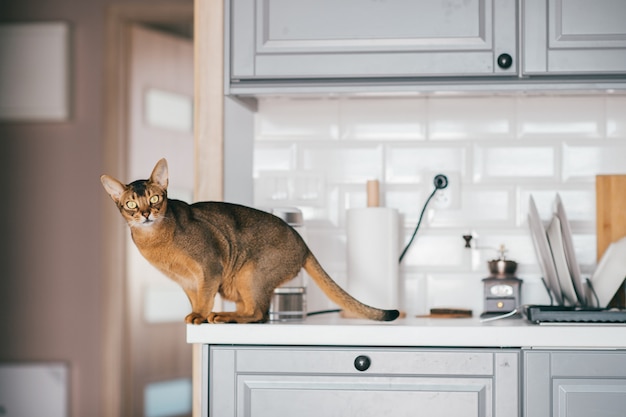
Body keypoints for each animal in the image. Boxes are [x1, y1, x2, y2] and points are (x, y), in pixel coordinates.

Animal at [100, 158, 398, 324]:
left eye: (154, 198)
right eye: (130, 204)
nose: (145, 214)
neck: (157, 240)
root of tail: (303, 242)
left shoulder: (210, 267)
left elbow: (205, 296)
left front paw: (199, 315)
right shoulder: (186, 280)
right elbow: (196, 297)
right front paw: (195, 313)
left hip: (252, 271)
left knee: (259, 314)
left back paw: (224, 316)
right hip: (240, 279)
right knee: (253, 309)